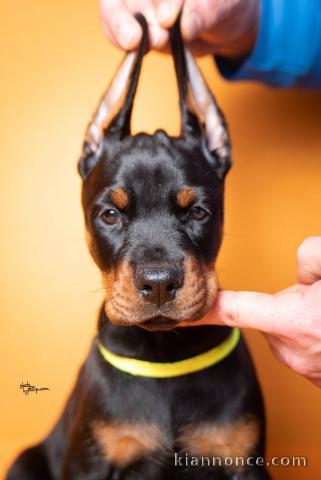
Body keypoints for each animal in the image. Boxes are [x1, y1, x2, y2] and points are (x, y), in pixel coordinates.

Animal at [6, 15, 268, 480]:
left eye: (198, 212)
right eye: (110, 214)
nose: (159, 283)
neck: (164, 354)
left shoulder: (244, 462)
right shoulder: (89, 463)